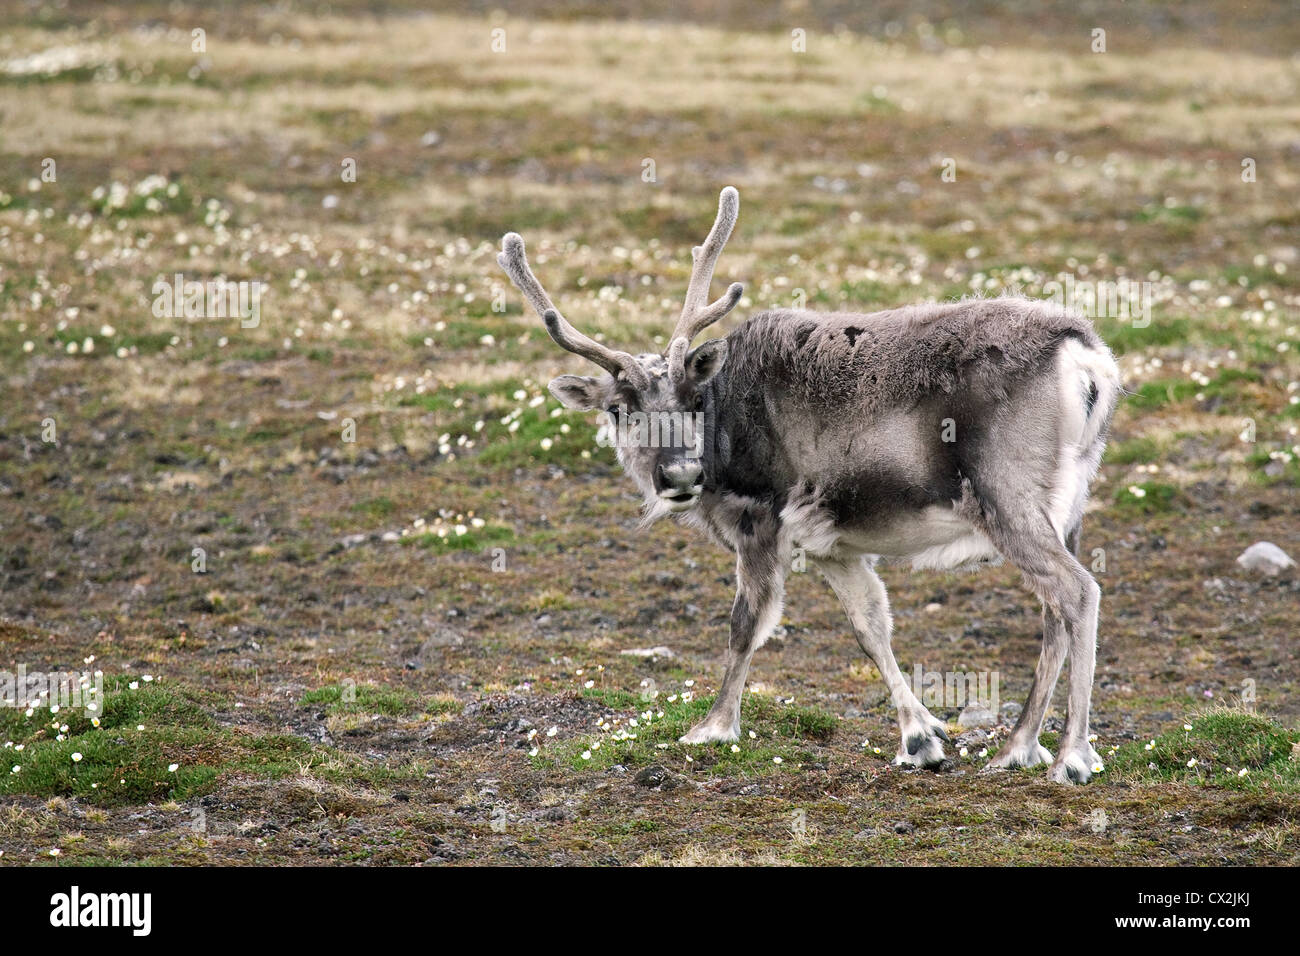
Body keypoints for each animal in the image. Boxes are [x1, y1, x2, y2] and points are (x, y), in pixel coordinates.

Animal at [497, 187, 1121, 784]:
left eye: (690, 399)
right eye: (618, 409)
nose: (679, 475)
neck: (724, 426)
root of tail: (1088, 358)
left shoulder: (759, 521)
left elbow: (745, 623)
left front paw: (713, 726)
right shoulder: (833, 547)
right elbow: (871, 626)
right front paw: (920, 738)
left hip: (1007, 498)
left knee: (1078, 591)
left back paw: (1071, 754)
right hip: (1069, 506)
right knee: (1054, 610)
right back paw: (1019, 747)